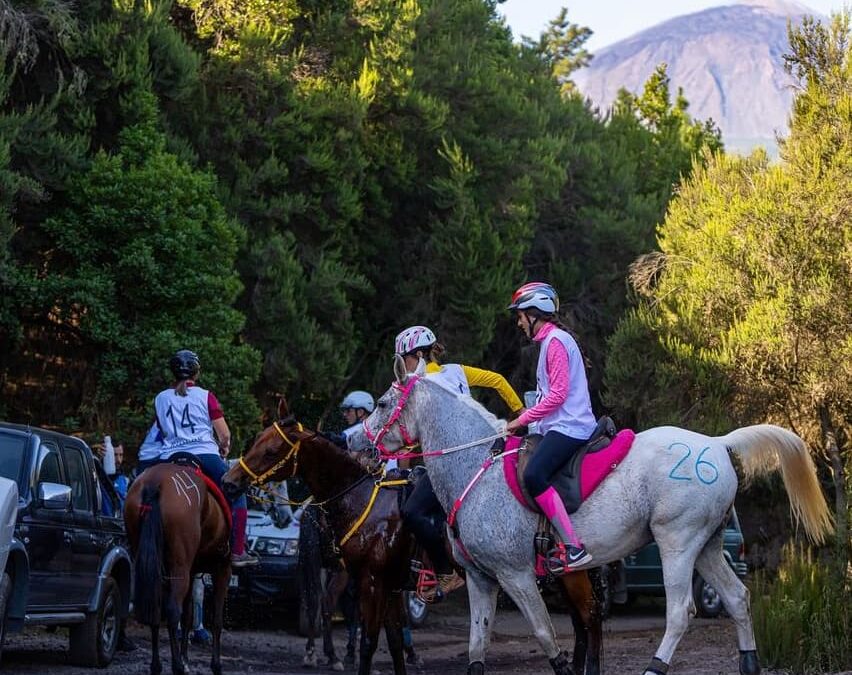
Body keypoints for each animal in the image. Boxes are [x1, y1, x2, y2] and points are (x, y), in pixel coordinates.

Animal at [125, 464, 231, 675]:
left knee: (156, 609)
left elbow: (188, 615)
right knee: (173, 610)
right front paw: (215, 665)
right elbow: (216, 619)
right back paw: (177, 666)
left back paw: (157, 666)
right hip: (179, 568)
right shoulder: (222, 569)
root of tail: (154, 483)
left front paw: (186, 658)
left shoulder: (192, 571)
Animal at [352, 356, 832, 672]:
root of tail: (716, 443)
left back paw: (655, 667)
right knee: (737, 599)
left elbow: (546, 635)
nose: (356, 442)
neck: (473, 466)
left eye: (381, 403)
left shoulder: (515, 575)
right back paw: (748, 664)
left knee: (681, 612)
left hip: (677, 544)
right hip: (708, 547)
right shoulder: (480, 579)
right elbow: (475, 649)